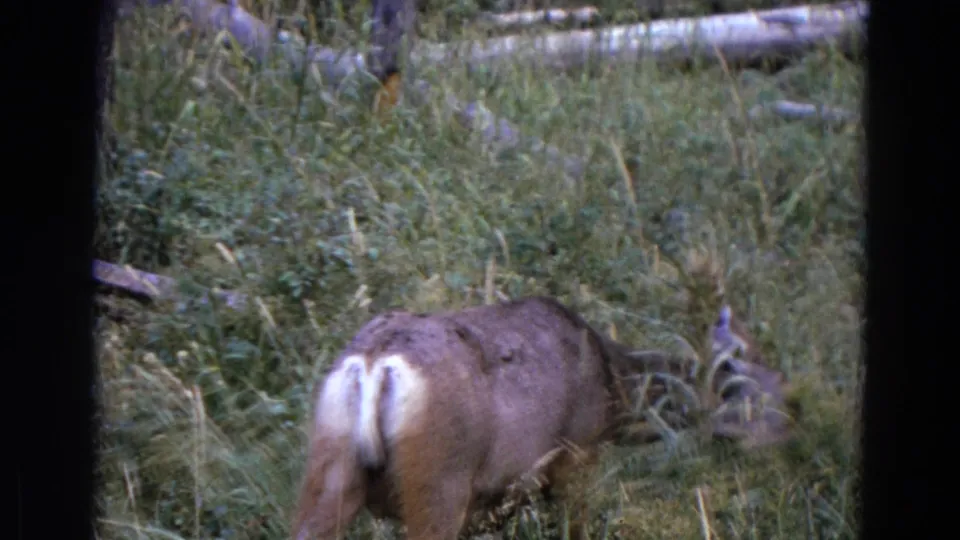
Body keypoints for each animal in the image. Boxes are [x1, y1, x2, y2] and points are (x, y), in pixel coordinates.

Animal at [292, 296, 790, 540]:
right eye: (751, 370)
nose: (789, 427)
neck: (613, 387)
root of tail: (374, 364)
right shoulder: (576, 457)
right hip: (438, 479)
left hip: (331, 466)